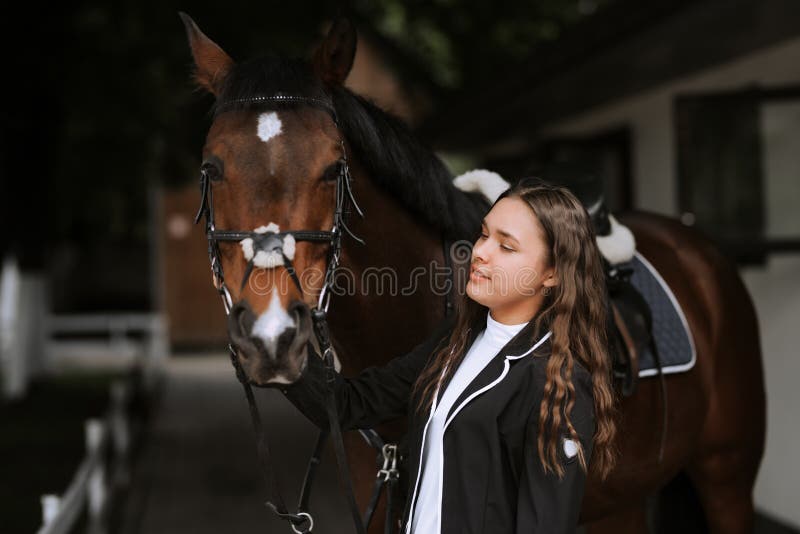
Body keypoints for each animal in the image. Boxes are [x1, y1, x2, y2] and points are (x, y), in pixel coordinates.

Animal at [181, 14, 768, 532]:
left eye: (332, 169)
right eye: (210, 167)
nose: (271, 336)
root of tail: (697, 248)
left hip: (727, 476)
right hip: (620, 502)